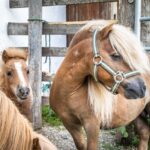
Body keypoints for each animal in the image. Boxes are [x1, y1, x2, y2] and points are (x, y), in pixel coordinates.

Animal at [50, 20, 150, 150]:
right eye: (116, 55)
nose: (141, 87)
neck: (68, 93)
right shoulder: (70, 124)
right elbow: (81, 145)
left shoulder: (92, 125)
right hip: (137, 114)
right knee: (144, 133)